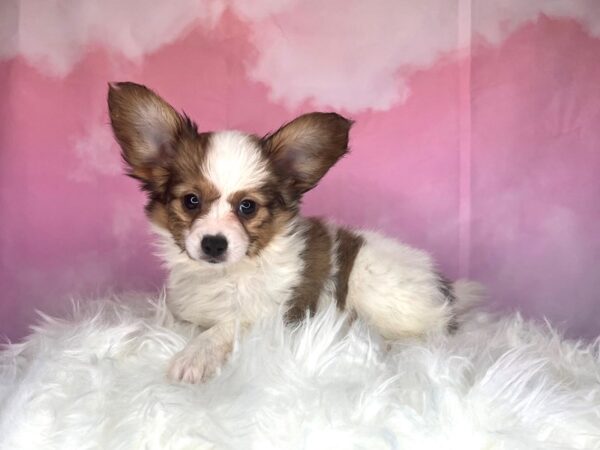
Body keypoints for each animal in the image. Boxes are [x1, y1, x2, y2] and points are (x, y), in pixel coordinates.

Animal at [109, 81, 482, 384]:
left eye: (248, 207)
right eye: (191, 201)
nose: (214, 244)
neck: (223, 277)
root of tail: (445, 288)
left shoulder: (267, 314)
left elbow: (225, 327)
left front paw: (195, 355)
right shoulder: (185, 309)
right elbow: (164, 323)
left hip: (376, 287)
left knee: (428, 333)